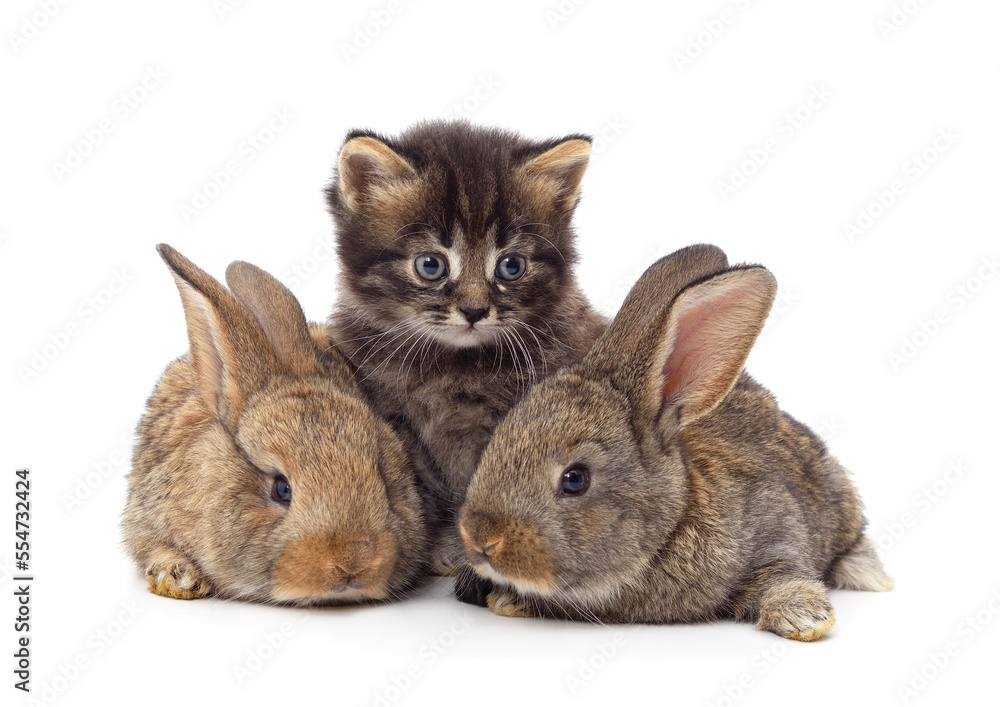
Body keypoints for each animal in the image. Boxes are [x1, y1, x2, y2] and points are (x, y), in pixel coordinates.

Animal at [456, 244, 893, 640]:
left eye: (575, 479)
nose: (480, 539)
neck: (673, 521)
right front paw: (507, 601)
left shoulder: (776, 527)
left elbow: (784, 572)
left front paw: (803, 618)